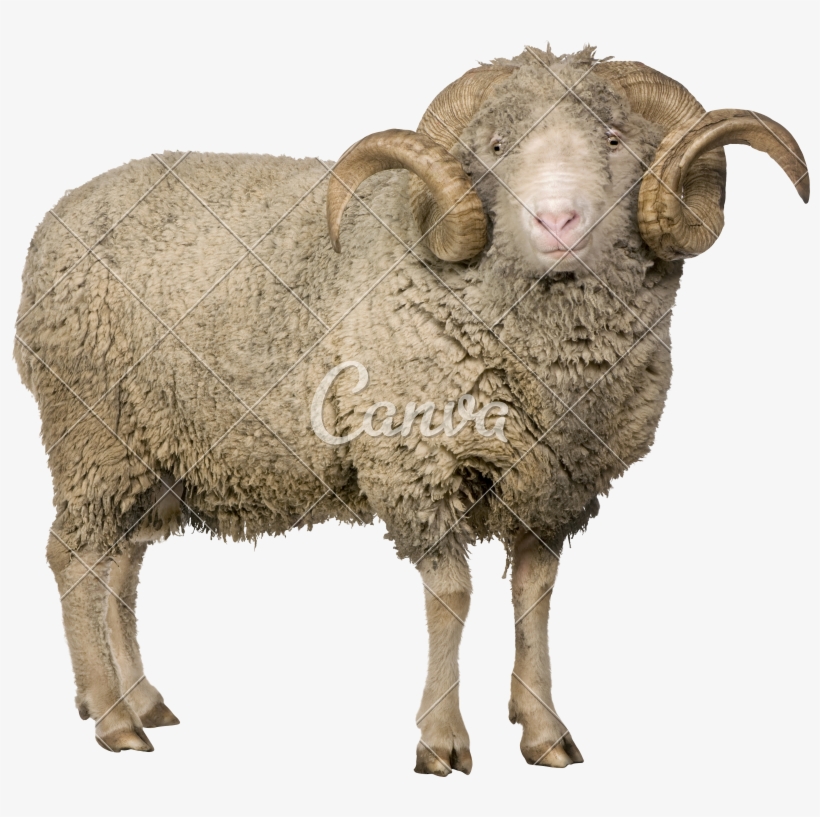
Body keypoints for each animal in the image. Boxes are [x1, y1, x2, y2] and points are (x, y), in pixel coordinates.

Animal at [13, 44, 809, 773]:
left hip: (150, 450)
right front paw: (442, 740)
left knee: (120, 565)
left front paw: (544, 729)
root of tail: (55, 223)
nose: (558, 222)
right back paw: (113, 718)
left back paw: (140, 698)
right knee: (74, 559)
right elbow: (451, 597)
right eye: (497, 147)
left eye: (614, 140)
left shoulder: (554, 485)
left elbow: (536, 597)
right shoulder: (417, 462)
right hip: (92, 433)